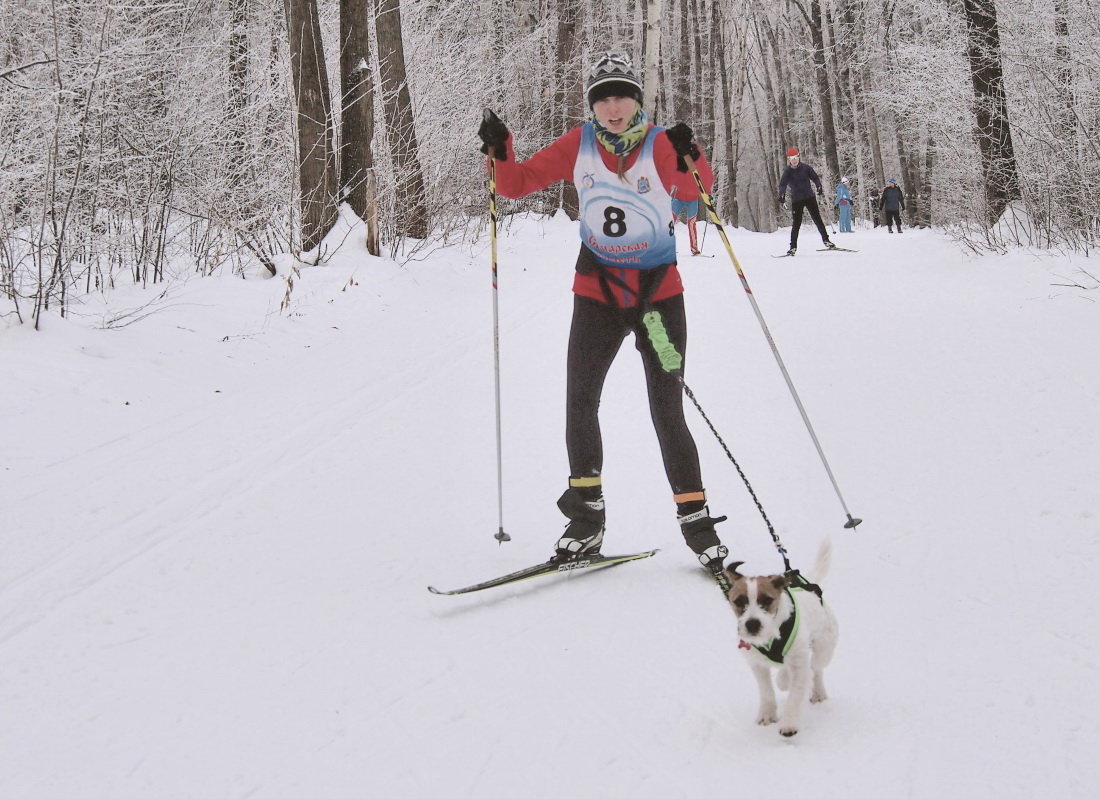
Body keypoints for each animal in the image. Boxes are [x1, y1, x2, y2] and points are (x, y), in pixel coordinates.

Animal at [726, 539, 836, 739]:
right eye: (738, 601)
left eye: (767, 600)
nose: (752, 624)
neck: (771, 634)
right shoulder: (757, 665)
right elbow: (766, 691)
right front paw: (767, 714)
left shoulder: (799, 666)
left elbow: (795, 695)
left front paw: (789, 724)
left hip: (824, 648)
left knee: (816, 669)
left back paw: (817, 692)